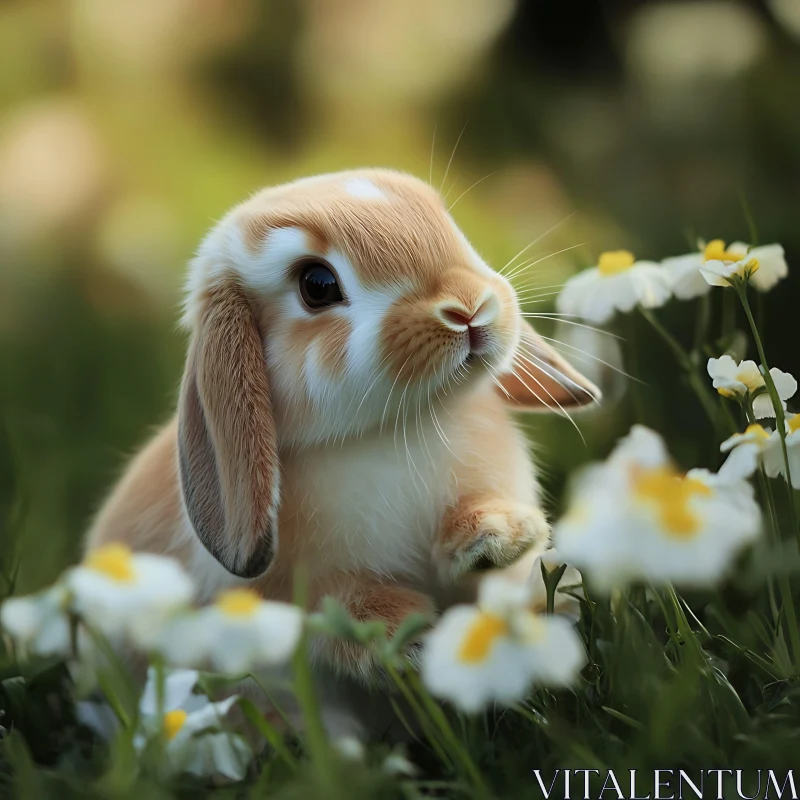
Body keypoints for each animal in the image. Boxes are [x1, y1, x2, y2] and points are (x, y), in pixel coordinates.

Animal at [87, 166, 600, 684]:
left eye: (448, 226)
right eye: (317, 284)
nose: (468, 308)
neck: (392, 429)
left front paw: (501, 536)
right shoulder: (302, 591)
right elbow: (335, 611)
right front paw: (406, 632)